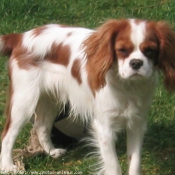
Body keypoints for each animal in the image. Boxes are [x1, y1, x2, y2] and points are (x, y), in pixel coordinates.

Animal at [0, 18, 175, 174]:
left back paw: (51, 151)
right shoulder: (104, 128)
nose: (136, 63)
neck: (127, 86)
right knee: (7, 135)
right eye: (122, 50)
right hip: (24, 101)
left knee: (41, 126)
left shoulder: (136, 125)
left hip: (51, 100)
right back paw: (8, 166)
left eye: (150, 51)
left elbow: (135, 163)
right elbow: (114, 167)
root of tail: (20, 37)